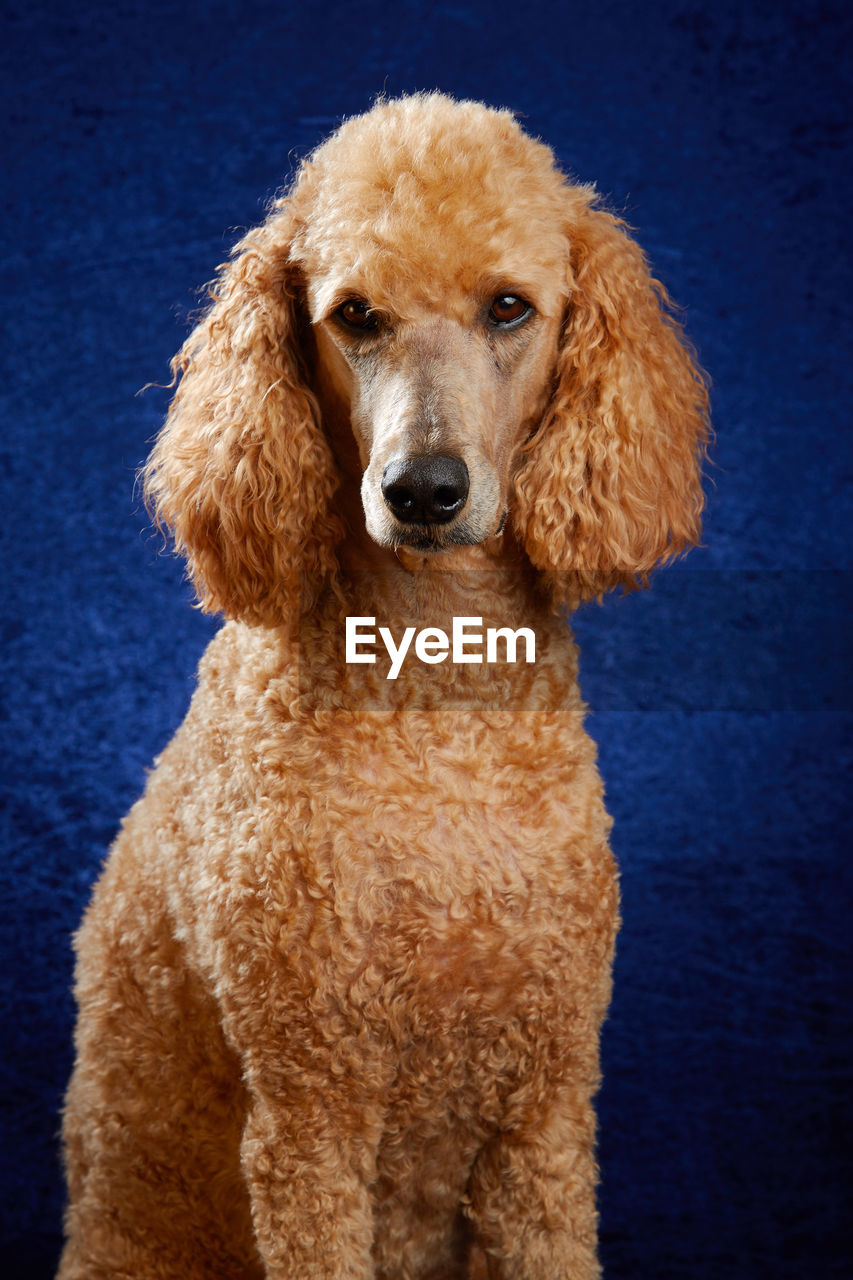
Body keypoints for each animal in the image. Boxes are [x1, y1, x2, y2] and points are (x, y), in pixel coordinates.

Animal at [59, 94, 701, 1274]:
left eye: (508, 307)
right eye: (354, 315)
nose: (424, 489)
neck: (434, 704)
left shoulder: (543, 1110)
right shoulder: (310, 1111)